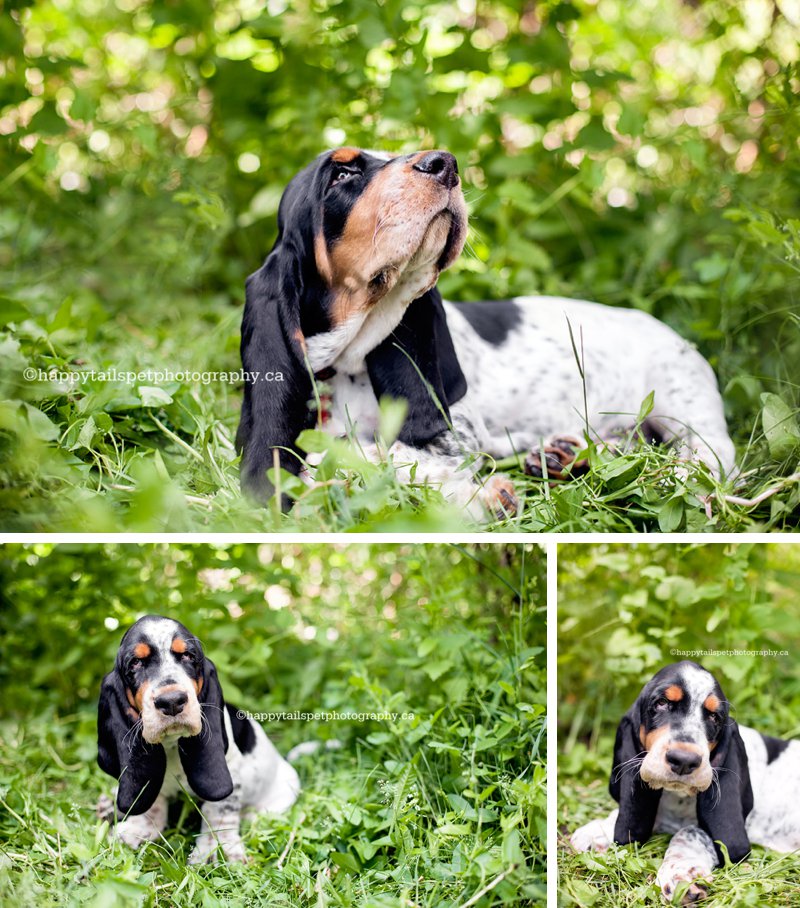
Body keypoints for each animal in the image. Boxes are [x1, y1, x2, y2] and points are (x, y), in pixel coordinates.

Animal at [98, 612, 298, 860]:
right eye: (135, 662)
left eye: (188, 656)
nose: (171, 701)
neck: (172, 744)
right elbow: (152, 798)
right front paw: (139, 829)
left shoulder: (230, 769)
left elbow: (219, 808)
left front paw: (217, 848)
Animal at [234, 147, 736, 516]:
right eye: (341, 175)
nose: (444, 162)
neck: (343, 367)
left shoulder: (455, 435)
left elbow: (390, 456)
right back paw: (563, 455)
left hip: (686, 412)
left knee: (707, 461)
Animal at [568, 664, 800, 904]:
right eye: (661, 703)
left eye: (715, 717)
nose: (684, 760)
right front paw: (597, 831)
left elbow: (689, 831)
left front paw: (682, 873)